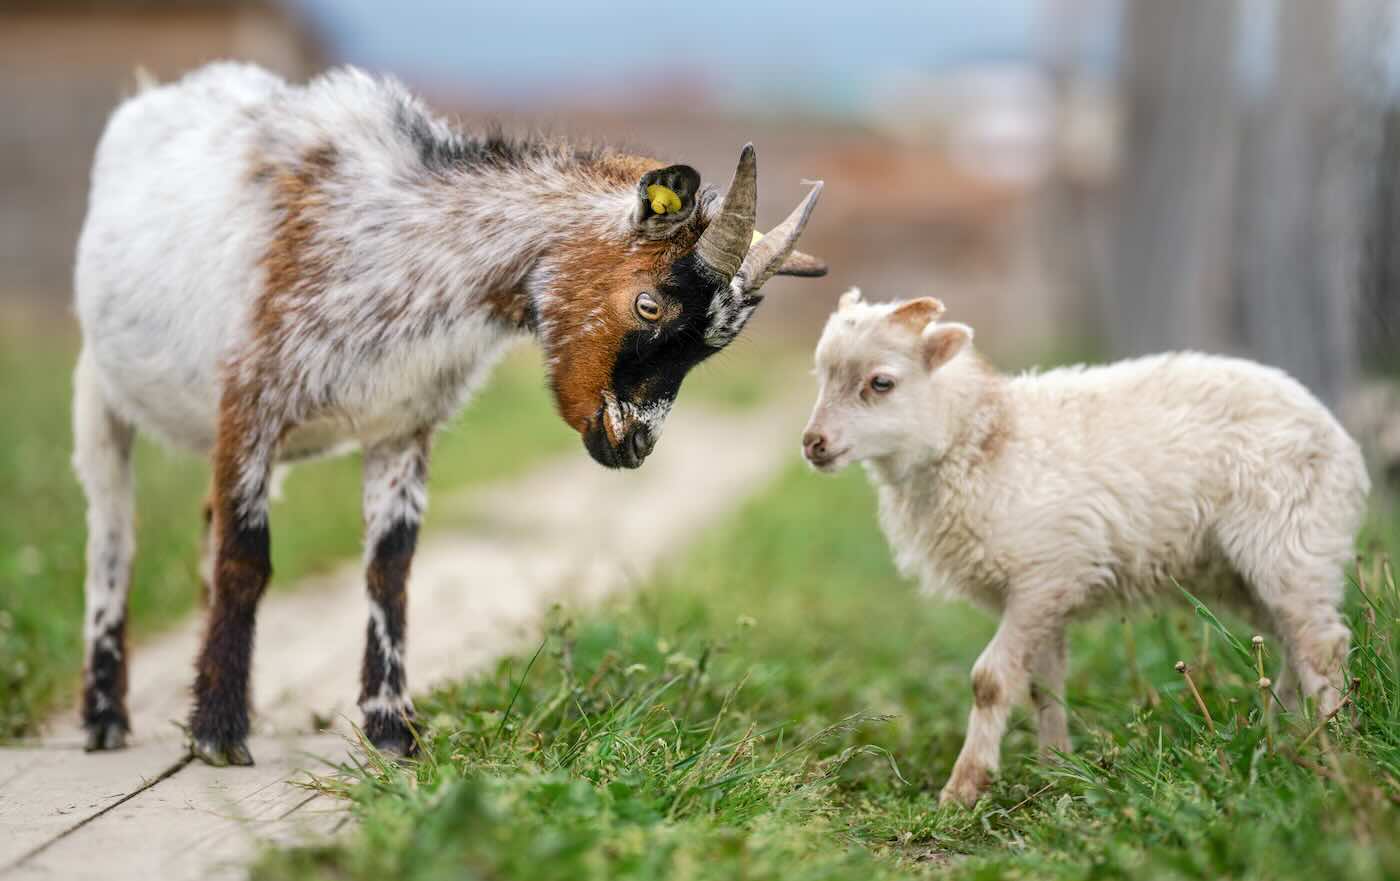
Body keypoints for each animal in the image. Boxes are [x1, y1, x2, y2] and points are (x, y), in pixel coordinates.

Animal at [71, 61, 823, 761]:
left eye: (712, 348)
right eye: (651, 304)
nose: (634, 442)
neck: (404, 246)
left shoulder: (401, 427)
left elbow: (390, 568)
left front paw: (391, 726)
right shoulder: (250, 403)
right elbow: (245, 561)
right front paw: (218, 734)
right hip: (100, 391)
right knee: (114, 538)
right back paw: (107, 716)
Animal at [806, 287, 1372, 806]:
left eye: (881, 382)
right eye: (821, 377)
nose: (813, 444)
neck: (985, 439)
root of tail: (1338, 436)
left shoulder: (1044, 572)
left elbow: (990, 680)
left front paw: (963, 789)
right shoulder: (1047, 586)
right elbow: (1042, 683)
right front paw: (1055, 766)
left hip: (1289, 541)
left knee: (1322, 643)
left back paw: (1334, 747)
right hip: (1242, 570)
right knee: (1292, 641)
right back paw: (1283, 733)